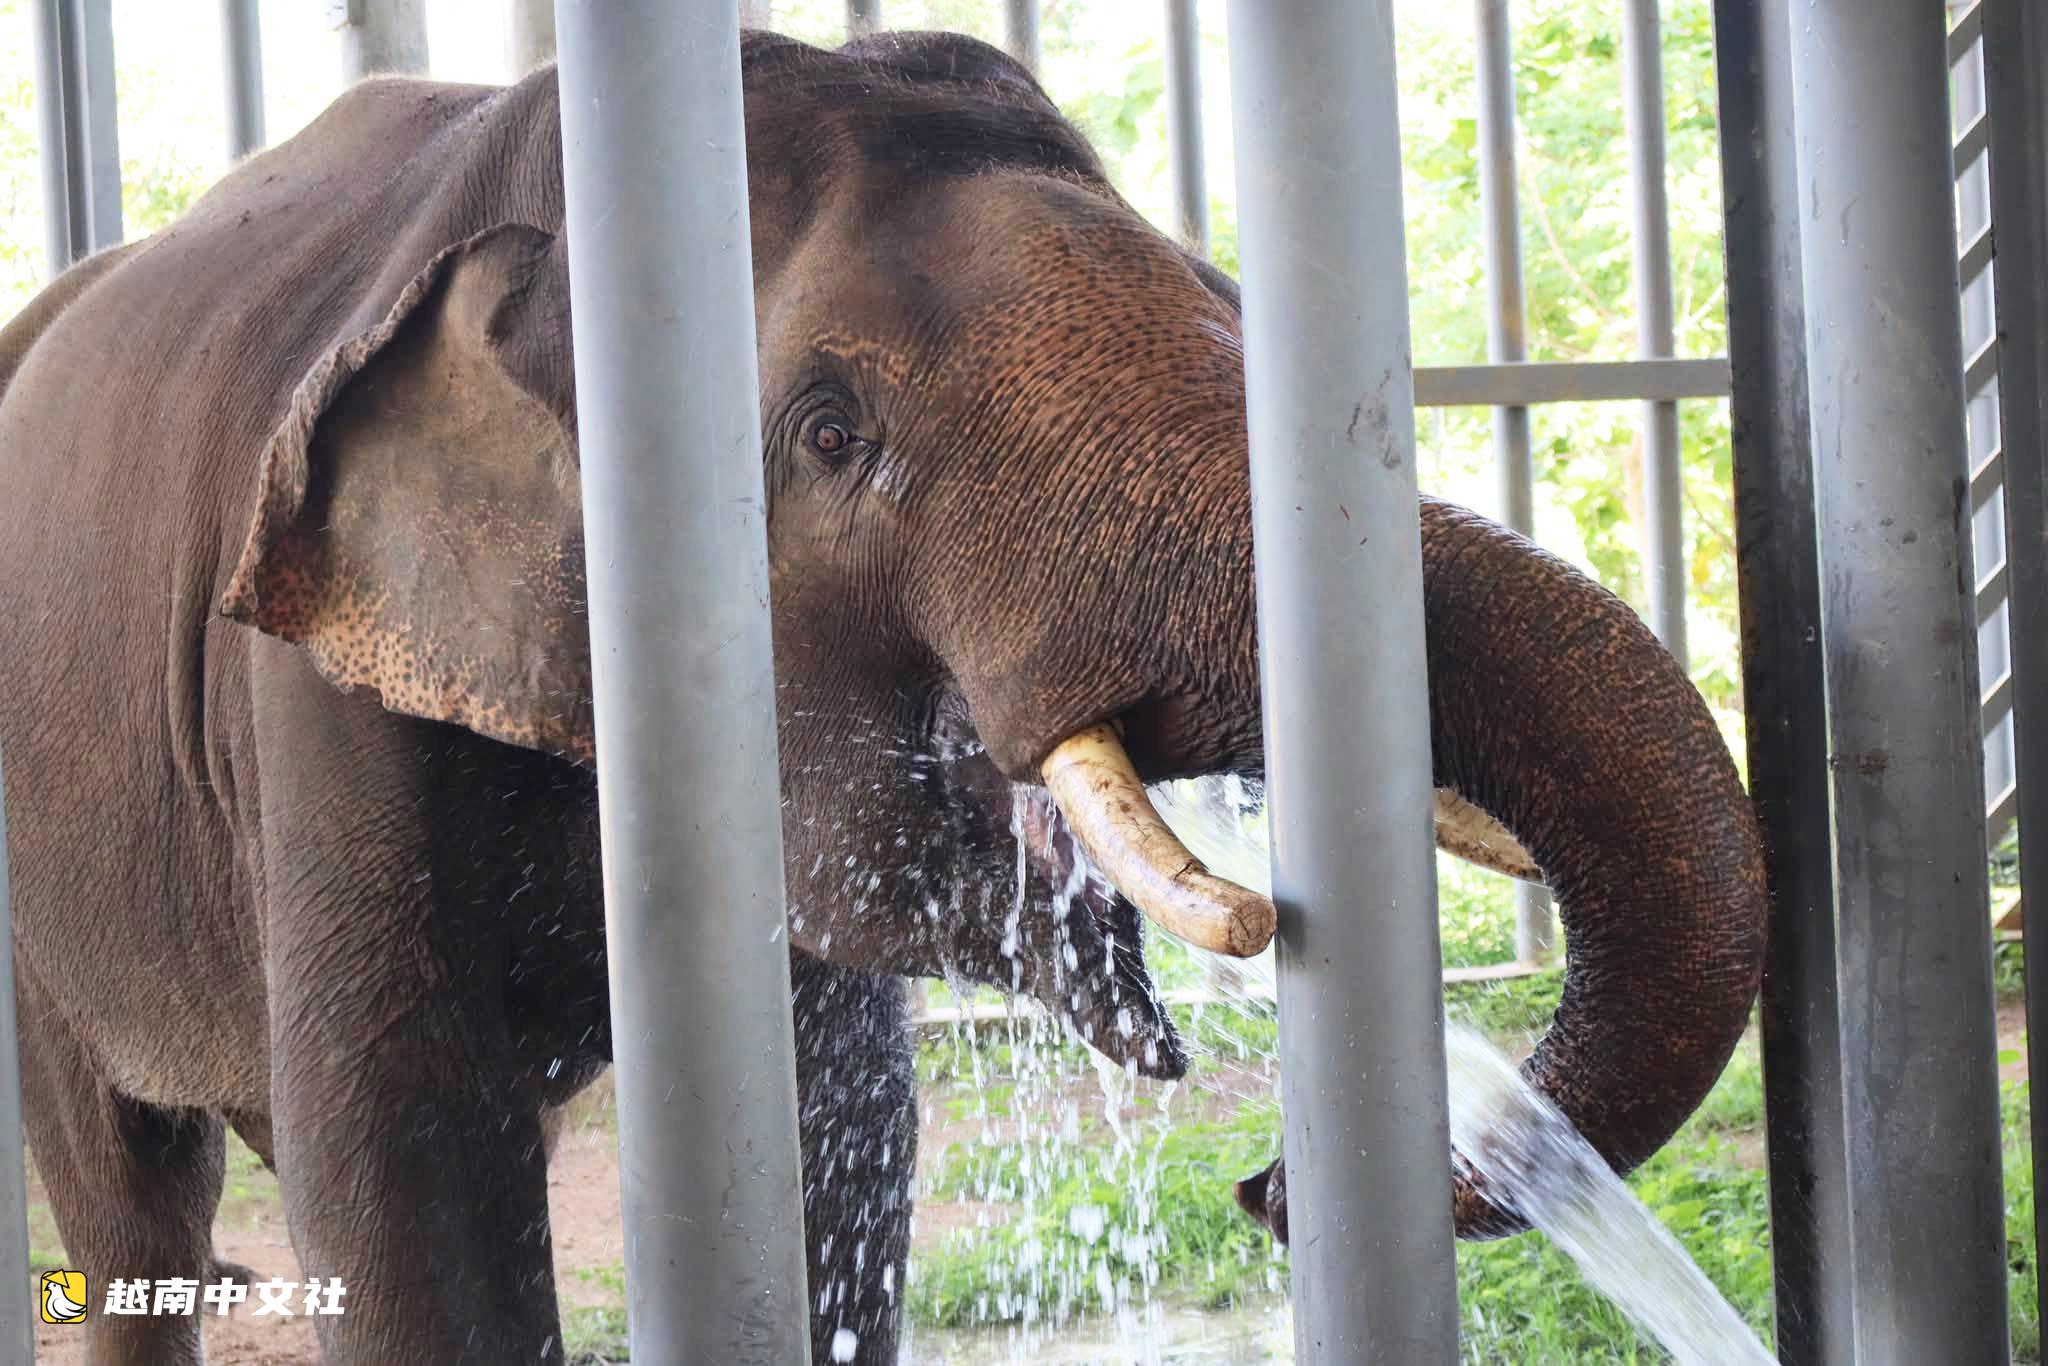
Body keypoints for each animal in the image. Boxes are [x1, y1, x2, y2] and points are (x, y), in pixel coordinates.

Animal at [0, 26, 1767, 1366]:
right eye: (831, 433)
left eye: (1233, 303)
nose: (1268, 1187)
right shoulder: (314, 696)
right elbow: (408, 1172)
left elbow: (839, 1138)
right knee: (131, 1195)